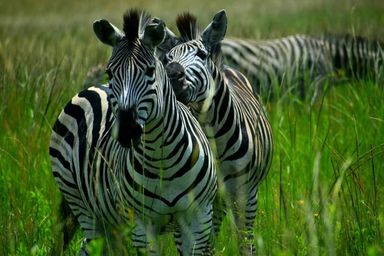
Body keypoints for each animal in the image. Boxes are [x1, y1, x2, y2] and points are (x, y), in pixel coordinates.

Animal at [49, 9, 218, 255]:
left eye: (150, 71)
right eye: (110, 72)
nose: (127, 130)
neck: (162, 157)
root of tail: (93, 87)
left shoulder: (199, 217)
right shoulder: (141, 224)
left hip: (109, 218)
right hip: (81, 204)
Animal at [160, 10, 274, 254]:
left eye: (202, 55)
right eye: (167, 59)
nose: (172, 74)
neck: (213, 138)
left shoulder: (246, 195)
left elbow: (245, 243)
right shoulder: (193, 201)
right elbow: (192, 246)